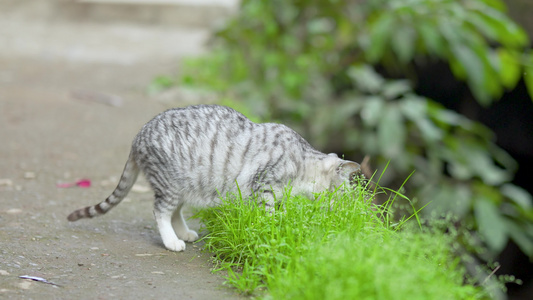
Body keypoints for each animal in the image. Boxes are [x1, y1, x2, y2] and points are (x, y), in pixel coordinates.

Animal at [64, 104, 360, 252]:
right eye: (344, 194)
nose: (347, 209)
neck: (302, 161)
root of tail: (137, 137)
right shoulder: (264, 185)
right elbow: (268, 212)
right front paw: (274, 225)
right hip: (170, 183)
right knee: (161, 211)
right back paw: (172, 241)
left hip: (185, 184)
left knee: (175, 211)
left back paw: (184, 233)